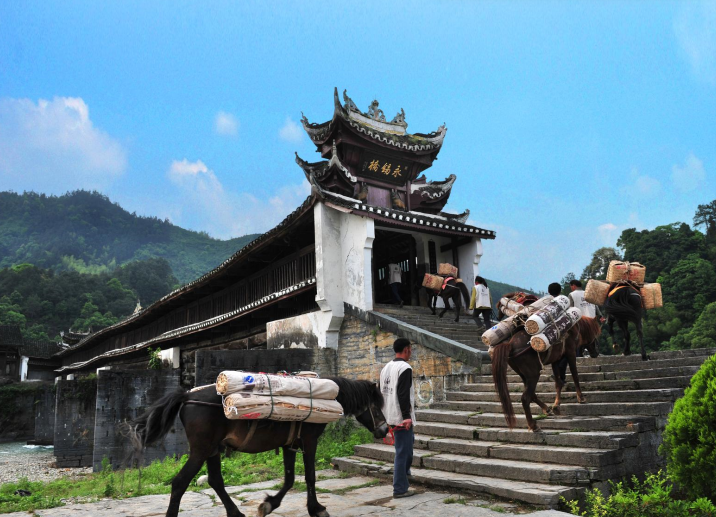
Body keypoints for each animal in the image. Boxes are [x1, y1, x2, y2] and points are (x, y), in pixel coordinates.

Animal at [126, 374, 388, 516]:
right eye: (376, 406)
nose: (385, 430)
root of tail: (187, 396)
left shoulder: (290, 443)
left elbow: (290, 478)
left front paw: (269, 504)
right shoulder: (309, 440)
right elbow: (310, 476)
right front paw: (316, 508)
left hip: (212, 450)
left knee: (215, 481)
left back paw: (236, 513)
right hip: (200, 450)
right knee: (180, 482)